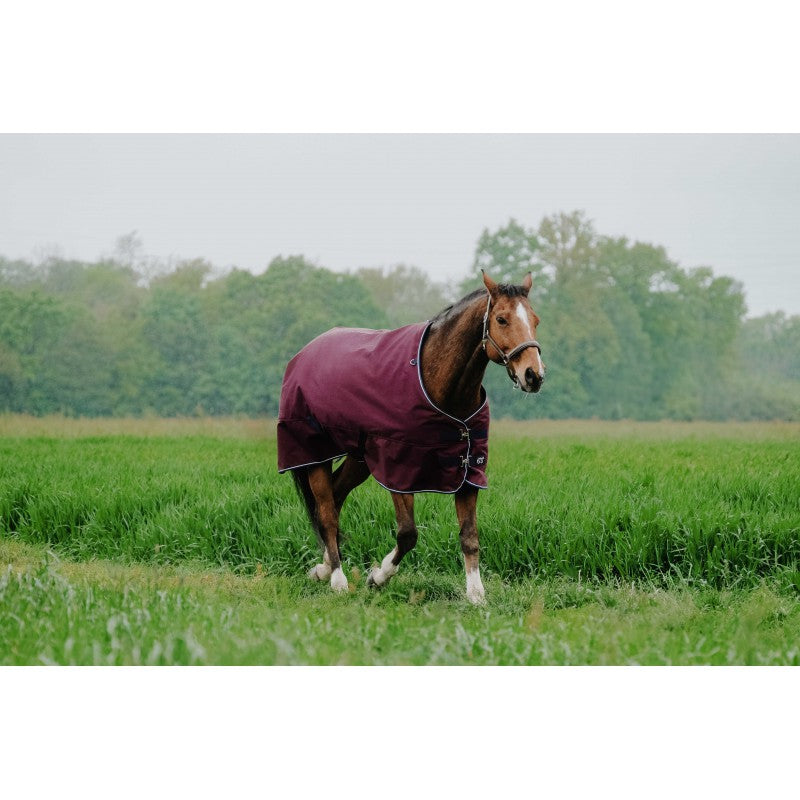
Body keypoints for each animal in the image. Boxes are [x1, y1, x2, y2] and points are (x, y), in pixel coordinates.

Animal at [276, 270, 544, 604]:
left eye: (535, 319)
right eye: (502, 319)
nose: (534, 375)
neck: (438, 382)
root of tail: (303, 354)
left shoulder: (468, 470)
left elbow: (469, 536)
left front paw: (476, 595)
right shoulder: (398, 468)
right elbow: (407, 534)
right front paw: (378, 577)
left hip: (359, 459)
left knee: (336, 498)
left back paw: (322, 569)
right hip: (315, 454)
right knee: (326, 512)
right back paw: (337, 579)